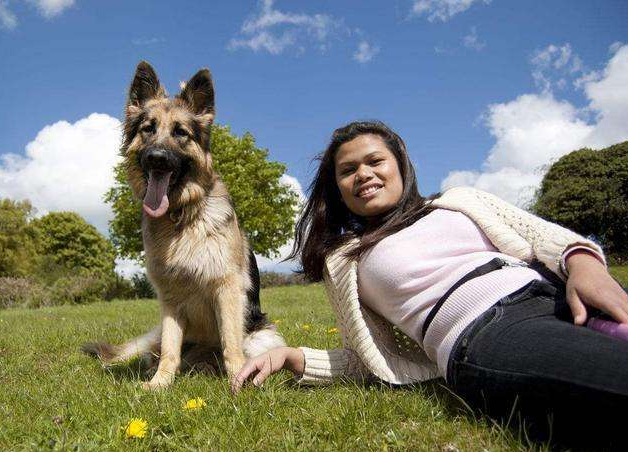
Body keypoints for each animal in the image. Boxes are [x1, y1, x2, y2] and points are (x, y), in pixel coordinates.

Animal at [83, 61, 284, 390]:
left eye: (181, 132)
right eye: (148, 128)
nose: (157, 158)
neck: (181, 217)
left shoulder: (227, 289)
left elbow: (231, 344)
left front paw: (237, 382)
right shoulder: (170, 299)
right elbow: (170, 349)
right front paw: (160, 384)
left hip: (264, 336)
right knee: (159, 353)